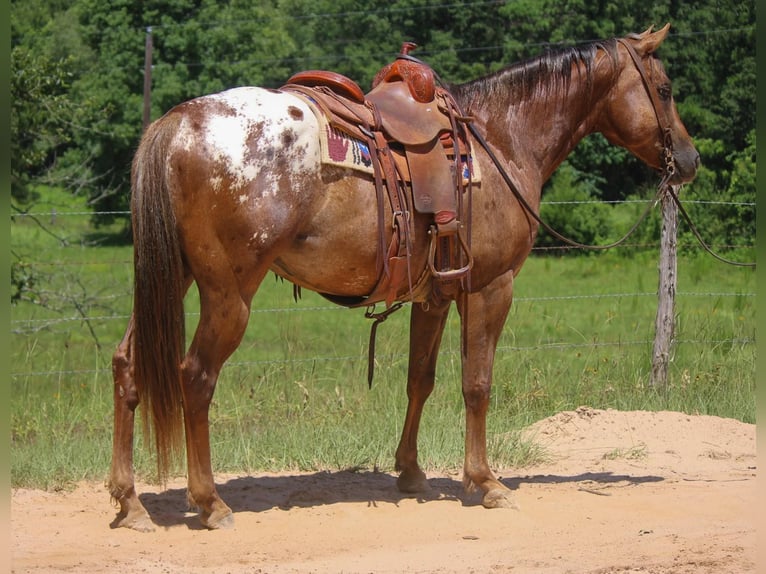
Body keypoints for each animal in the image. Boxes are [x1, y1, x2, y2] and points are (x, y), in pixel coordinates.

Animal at [108, 24, 704, 532]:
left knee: (127, 366)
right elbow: (477, 383)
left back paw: (130, 501)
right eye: (666, 88)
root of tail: (176, 124)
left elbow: (421, 379)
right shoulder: (490, 288)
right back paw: (210, 503)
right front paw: (486, 482)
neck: (501, 138)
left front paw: (411, 473)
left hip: (172, 281)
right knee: (196, 378)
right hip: (229, 295)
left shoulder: (434, 295)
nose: (690, 159)